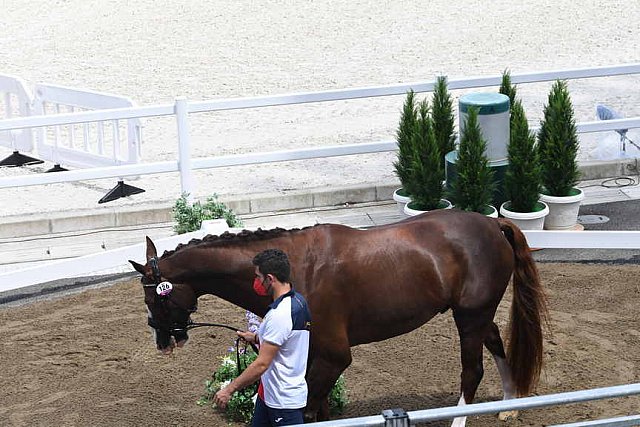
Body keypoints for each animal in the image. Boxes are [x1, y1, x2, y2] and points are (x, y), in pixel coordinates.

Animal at [131, 209, 552, 426]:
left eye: (155, 298)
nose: (162, 341)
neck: (297, 269)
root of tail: (491, 223)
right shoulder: (314, 355)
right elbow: (319, 411)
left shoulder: (334, 356)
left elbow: (310, 409)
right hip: (476, 315)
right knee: (496, 342)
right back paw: (509, 406)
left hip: (469, 317)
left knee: (472, 370)